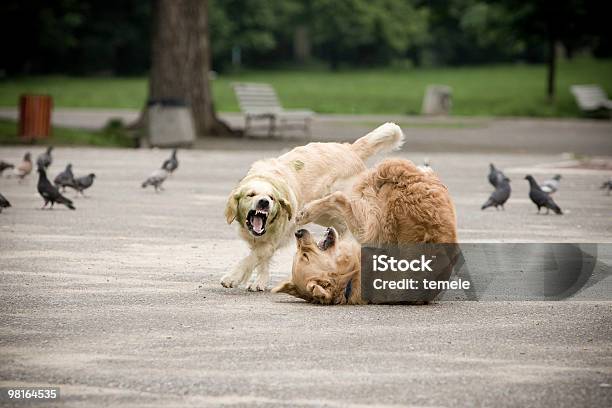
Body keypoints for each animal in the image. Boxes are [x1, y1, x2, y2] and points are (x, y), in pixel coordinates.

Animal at [222, 122, 404, 292]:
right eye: (251, 195)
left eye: (271, 197)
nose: (264, 202)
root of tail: (349, 148)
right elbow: (261, 258)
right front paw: (259, 282)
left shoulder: (273, 238)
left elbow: (252, 257)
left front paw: (232, 277)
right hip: (326, 216)